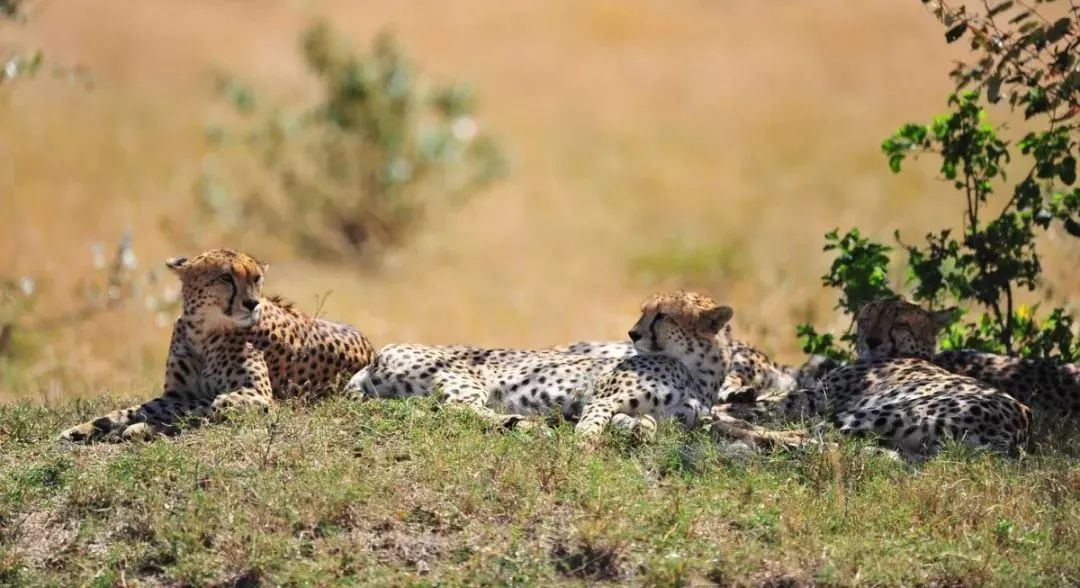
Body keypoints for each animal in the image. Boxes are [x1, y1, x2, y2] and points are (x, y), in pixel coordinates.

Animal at [63, 246, 378, 440]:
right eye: (226, 277)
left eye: (256, 278)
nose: (251, 303)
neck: (202, 330)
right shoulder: (176, 393)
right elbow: (130, 410)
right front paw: (83, 428)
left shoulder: (258, 396)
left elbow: (202, 407)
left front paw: (142, 428)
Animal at [717, 298, 1028, 458]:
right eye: (868, 317)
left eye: (900, 322)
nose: (872, 340)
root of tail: (1015, 432)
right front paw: (737, 394)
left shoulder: (816, 398)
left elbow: (766, 404)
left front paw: (727, 406)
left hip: (878, 413)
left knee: (814, 438)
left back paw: (724, 425)